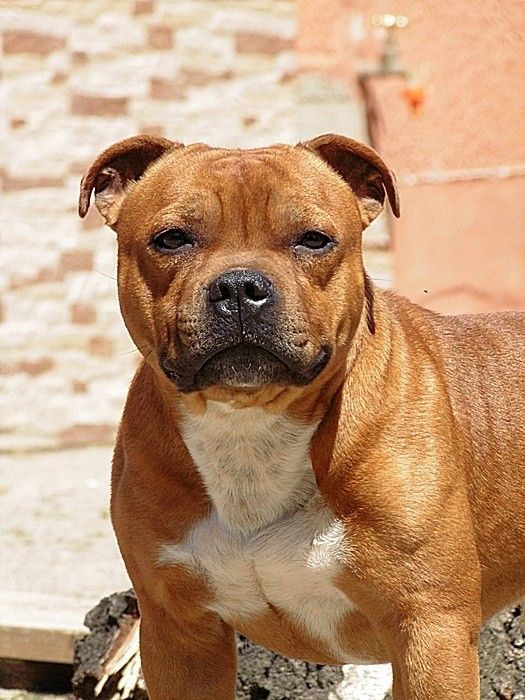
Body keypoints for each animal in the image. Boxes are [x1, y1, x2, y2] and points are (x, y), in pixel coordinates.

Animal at [79, 133, 525, 699]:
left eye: (314, 240)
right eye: (172, 238)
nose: (239, 287)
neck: (248, 428)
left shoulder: (430, 628)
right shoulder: (179, 633)